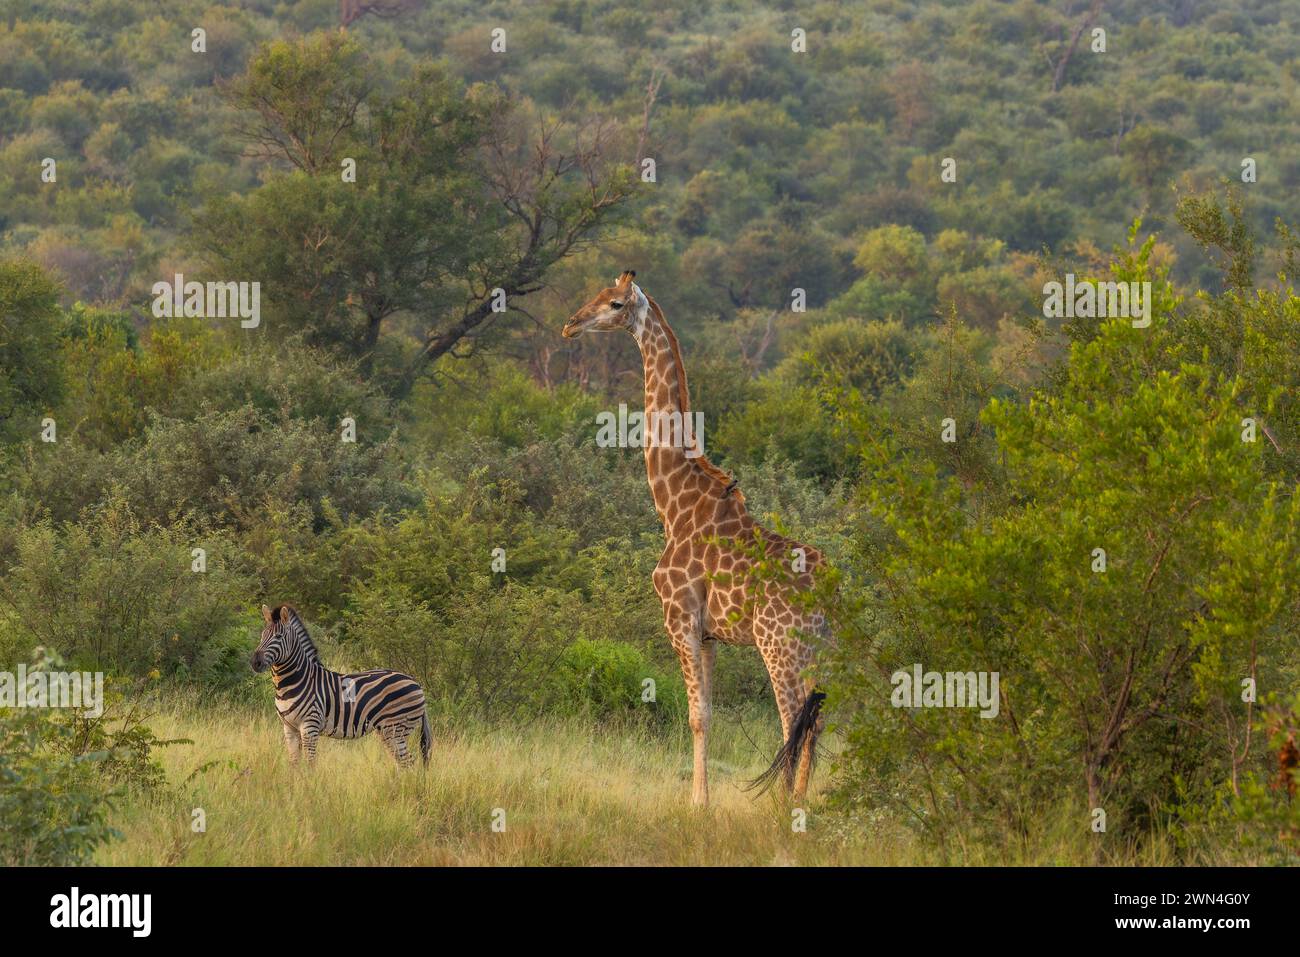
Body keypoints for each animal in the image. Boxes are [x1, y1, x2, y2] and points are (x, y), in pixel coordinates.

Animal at [563, 270, 828, 806]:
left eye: (615, 303)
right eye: (598, 294)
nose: (570, 325)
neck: (675, 505)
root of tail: (831, 591)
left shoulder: (679, 619)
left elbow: (696, 717)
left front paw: (697, 804)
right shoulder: (710, 634)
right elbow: (709, 715)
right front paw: (703, 801)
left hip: (780, 648)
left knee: (792, 722)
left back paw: (784, 809)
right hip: (821, 654)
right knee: (817, 723)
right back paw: (801, 804)